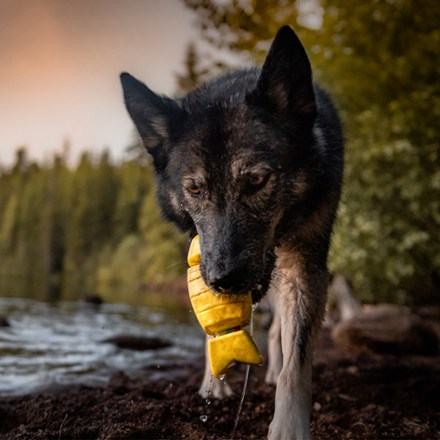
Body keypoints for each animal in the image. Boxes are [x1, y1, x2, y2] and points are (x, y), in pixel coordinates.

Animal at [120, 24, 344, 440]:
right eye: (195, 189)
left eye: (256, 180)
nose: (225, 279)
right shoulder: (200, 255)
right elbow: (214, 331)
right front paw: (213, 386)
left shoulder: (306, 266)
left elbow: (297, 362)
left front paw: (288, 427)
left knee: (278, 330)